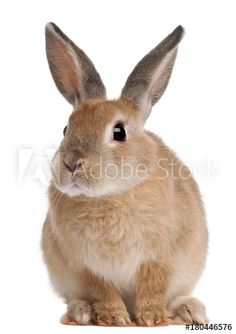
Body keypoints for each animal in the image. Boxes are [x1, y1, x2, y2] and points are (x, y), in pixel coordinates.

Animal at [41, 21, 207, 326]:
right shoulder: (86, 266)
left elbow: (153, 287)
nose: (72, 164)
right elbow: (102, 291)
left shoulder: (159, 257)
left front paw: (151, 318)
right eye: (66, 129)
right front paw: (116, 318)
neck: (109, 195)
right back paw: (81, 313)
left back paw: (191, 311)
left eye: (119, 132)